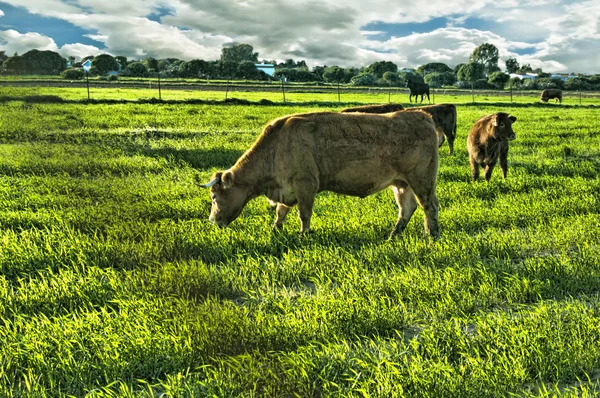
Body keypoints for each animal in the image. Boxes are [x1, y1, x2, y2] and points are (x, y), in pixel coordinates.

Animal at [202, 110, 440, 238]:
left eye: (214, 196)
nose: (212, 221)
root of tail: (422, 115)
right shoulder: (288, 188)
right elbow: (281, 211)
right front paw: (275, 229)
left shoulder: (305, 184)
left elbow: (304, 213)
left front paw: (304, 234)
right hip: (401, 183)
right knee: (407, 208)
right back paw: (392, 236)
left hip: (422, 180)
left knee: (430, 206)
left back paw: (432, 235)